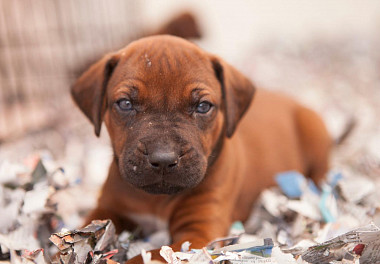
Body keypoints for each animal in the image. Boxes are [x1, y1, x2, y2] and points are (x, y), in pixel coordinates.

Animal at [70, 34, 330, 262]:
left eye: (203, 106)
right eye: (125, 104)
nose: (163, 159)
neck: (156, 199)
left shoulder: (198, 235)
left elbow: (148, 256)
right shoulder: (107, 208)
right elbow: (82, 232)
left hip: (314, 130)